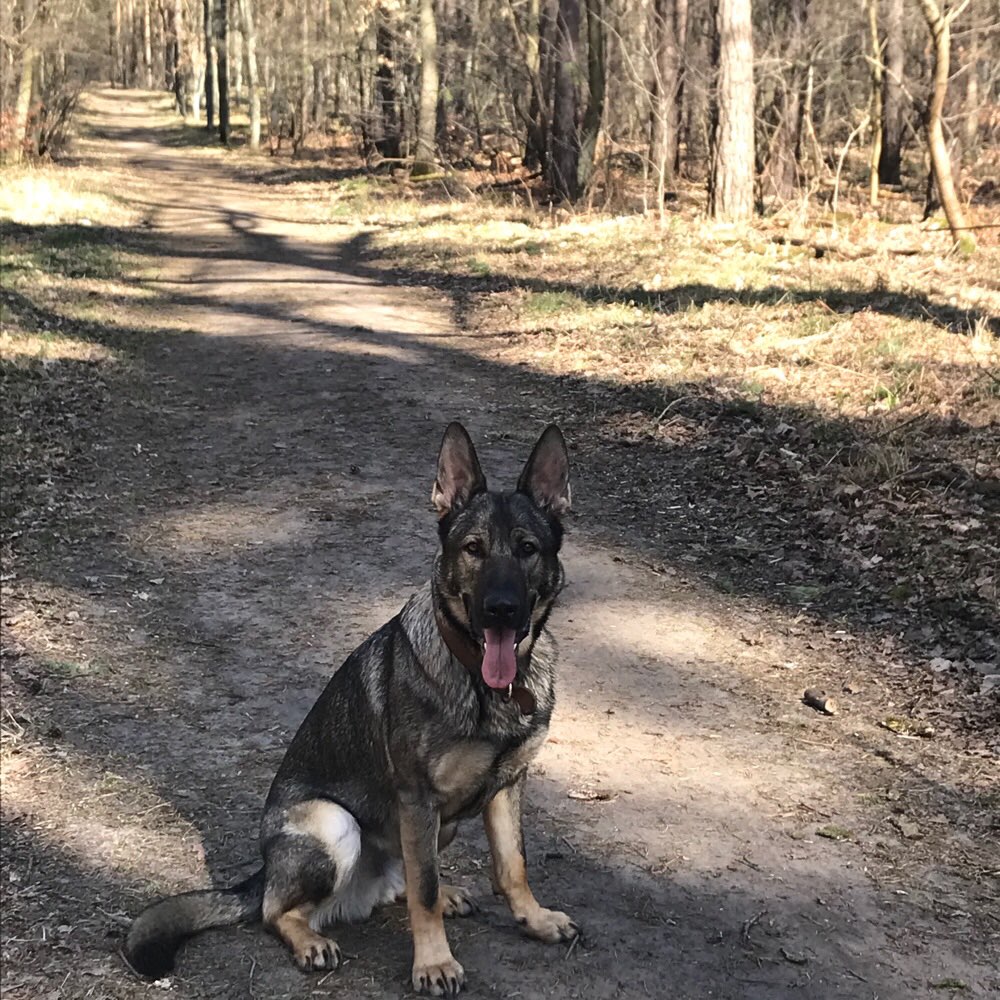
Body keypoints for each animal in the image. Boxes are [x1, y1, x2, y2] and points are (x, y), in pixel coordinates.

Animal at [125, 420, 580, 992]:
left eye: (527, 548)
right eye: (473, 548)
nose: (502, 610)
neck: (483, 682)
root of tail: (266, 871)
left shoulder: (504, 788)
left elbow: (512, 865)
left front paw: (534, 919)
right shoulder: (417, 799)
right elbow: (425, 891)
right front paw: (433, 962)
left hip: (439, 826)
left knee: (405, 879)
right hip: (335, 826)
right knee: (280, 909)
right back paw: (309, 940)